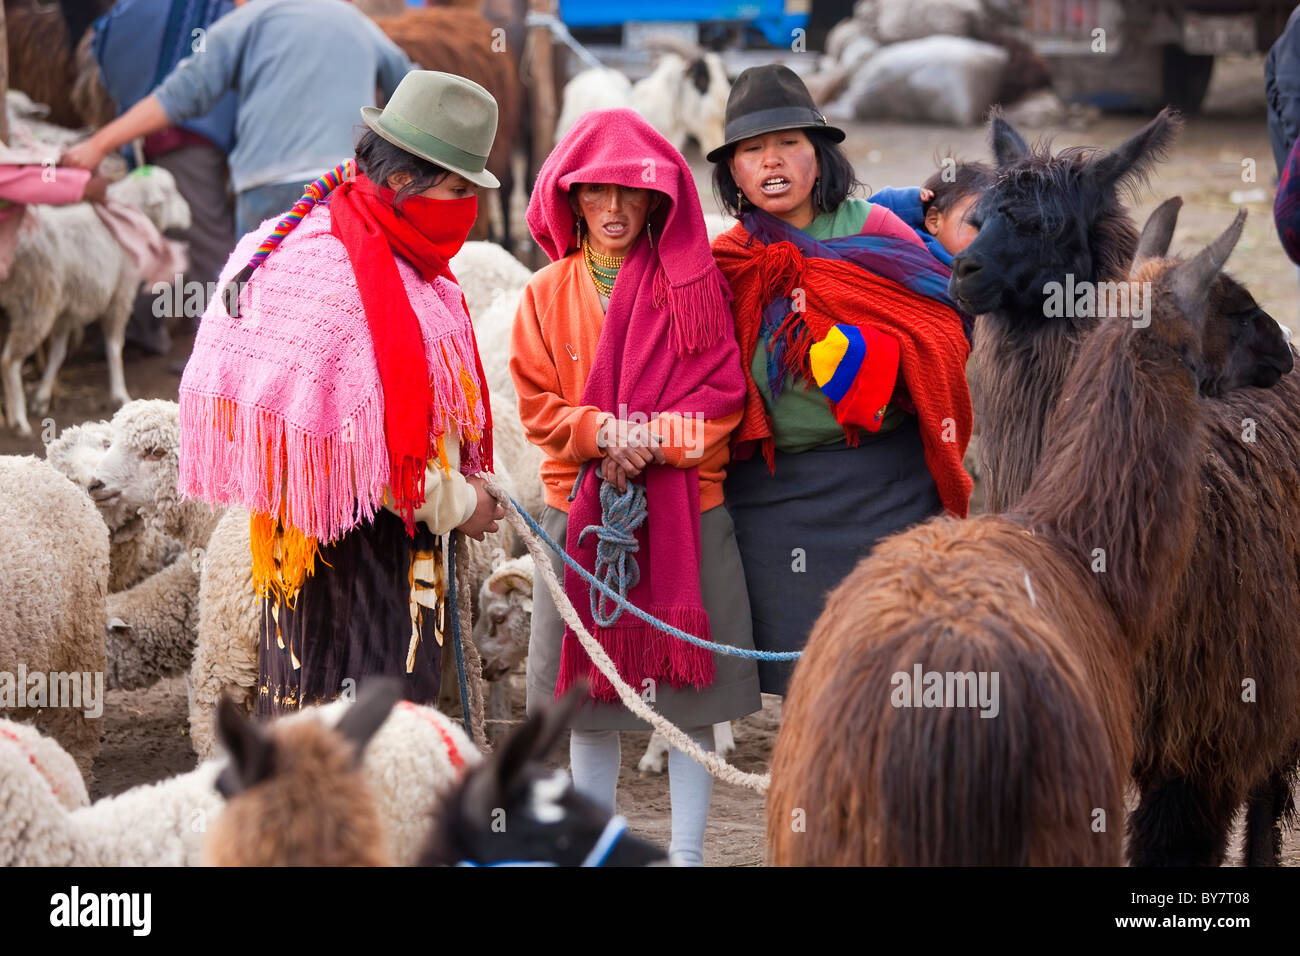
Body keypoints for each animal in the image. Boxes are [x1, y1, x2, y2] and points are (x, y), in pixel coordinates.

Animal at [0, 163, 189, 434]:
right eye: (171, 192)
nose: (190, 214)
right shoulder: (121, 293)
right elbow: (114, 347)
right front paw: (120, 394)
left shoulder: (68, 307)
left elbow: (58, 353)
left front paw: (42, 396)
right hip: (37, 300)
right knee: (9, 361)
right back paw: (19, 421)